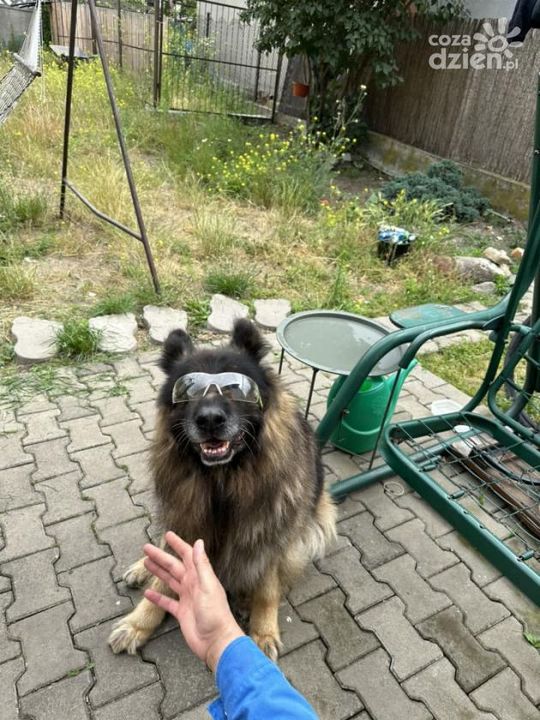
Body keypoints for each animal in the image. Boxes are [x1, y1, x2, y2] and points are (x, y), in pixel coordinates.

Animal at [108, 319, 336, 659]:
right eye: (187, 391)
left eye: (236, 387)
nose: (210, 419)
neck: (223, 482)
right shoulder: (186, 525)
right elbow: (163, 577)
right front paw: (139, 622)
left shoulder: (271, 538)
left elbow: (267, 587)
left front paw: (263, 630)